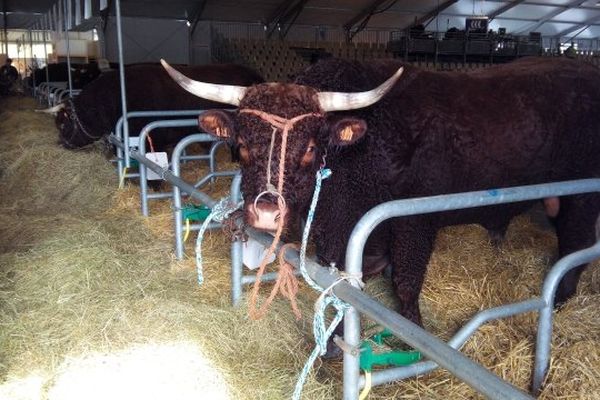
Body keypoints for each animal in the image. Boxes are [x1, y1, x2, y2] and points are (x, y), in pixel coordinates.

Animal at [162, 57, 600, 332]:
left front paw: (413, 334)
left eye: (309, 149)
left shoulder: (413, 222)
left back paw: (559, 301)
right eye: (242, 146)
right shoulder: (337, 234)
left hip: (580, 199)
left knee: (574, 247)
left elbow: (405, 283)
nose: (267, 213)